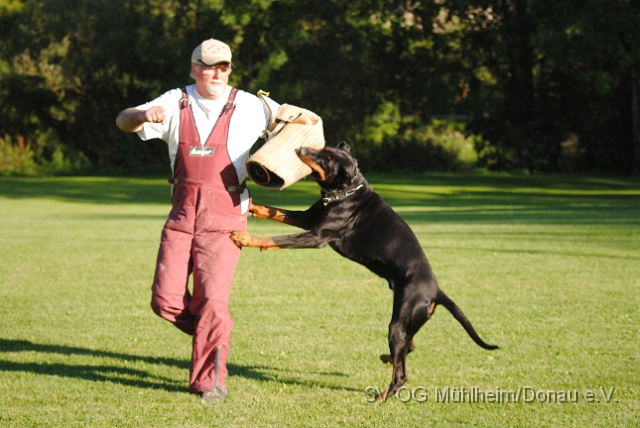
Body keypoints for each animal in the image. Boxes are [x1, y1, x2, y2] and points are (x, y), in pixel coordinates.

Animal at [231, 142, 500, 400]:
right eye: (325, 149)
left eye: (328, 158)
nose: (300, 148)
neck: (345, 193)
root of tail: (436, 291)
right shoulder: (308, 218)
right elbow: (274, 210)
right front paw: (252, 205)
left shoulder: (316, 236)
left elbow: (276, 238)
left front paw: (245, 237)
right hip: (408, 322)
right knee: (408, 348)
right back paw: (387, 359)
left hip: (399, 321)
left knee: (402, 373)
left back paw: (382, 396)